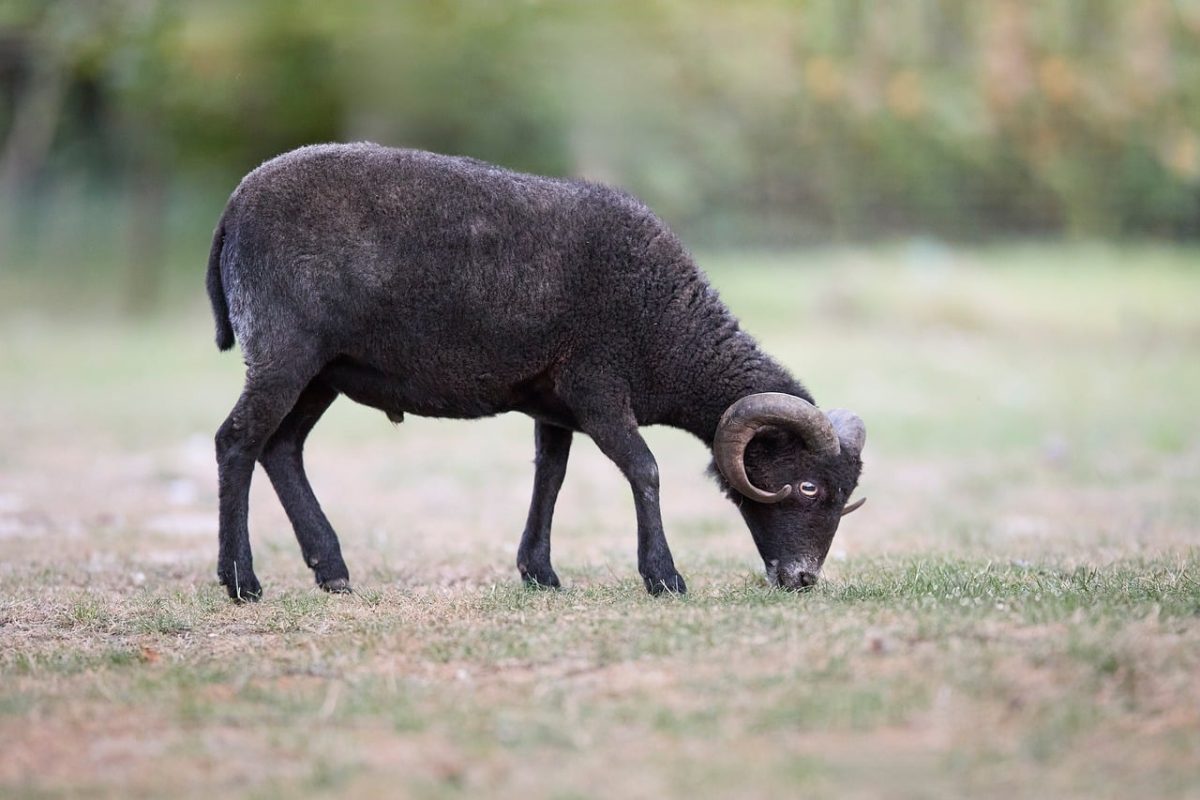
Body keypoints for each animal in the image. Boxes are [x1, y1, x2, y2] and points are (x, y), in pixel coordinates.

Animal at [205, 142, 866, 601]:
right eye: (808, 486)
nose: (802, 580)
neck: (666, 325)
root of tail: (233, 206)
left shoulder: (555, 404)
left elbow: (550, 478)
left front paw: (540, 572)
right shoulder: (595, 386)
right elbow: (645, 469)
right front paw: (664, 578)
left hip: (323, 372)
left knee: (281, 449)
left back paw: (332, 571)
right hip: (285, 352)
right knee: (236, 442)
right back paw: (242, 582)